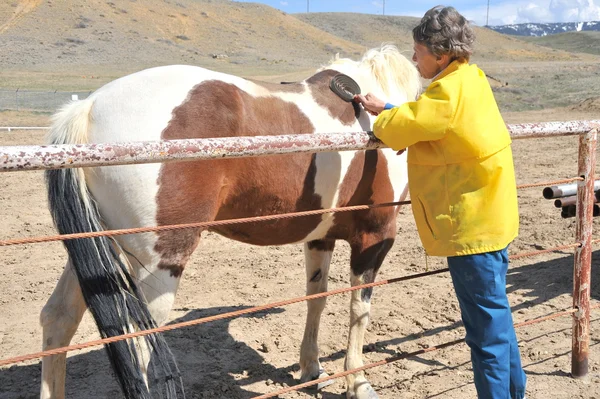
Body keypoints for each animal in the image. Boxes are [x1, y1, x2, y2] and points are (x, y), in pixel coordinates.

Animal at [39, 44, 420, 399]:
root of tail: (89, 107)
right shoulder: (374, 237)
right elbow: (359, 308)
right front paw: (358, 382)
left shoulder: (320, 236)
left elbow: (317, 298)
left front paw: (312, 368)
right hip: (157, 262)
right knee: (144, 349)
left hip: (98, 249)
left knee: (58, 319)